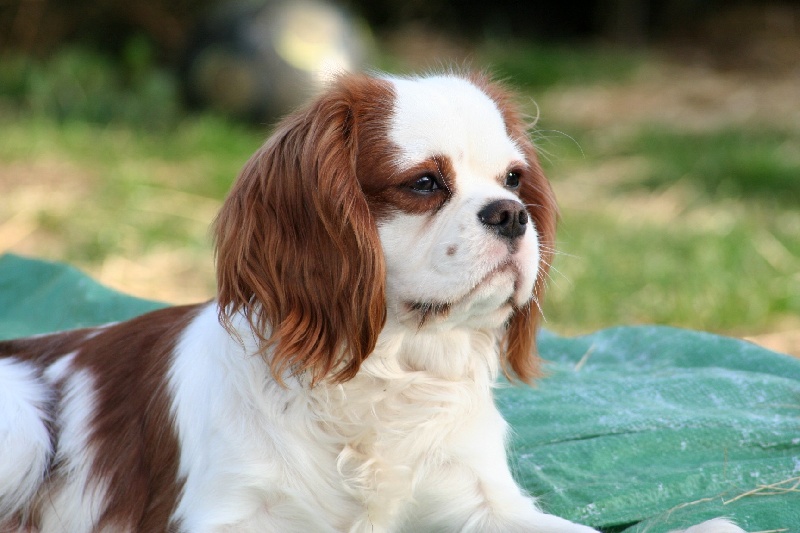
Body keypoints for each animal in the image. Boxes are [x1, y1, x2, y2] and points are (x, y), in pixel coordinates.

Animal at [0, 71, 740, 532]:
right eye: (425, 183)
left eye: (513, 179)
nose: (511, 215)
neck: (387, 369)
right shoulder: (230, 511)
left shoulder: (484, 504)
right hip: (24, 419)